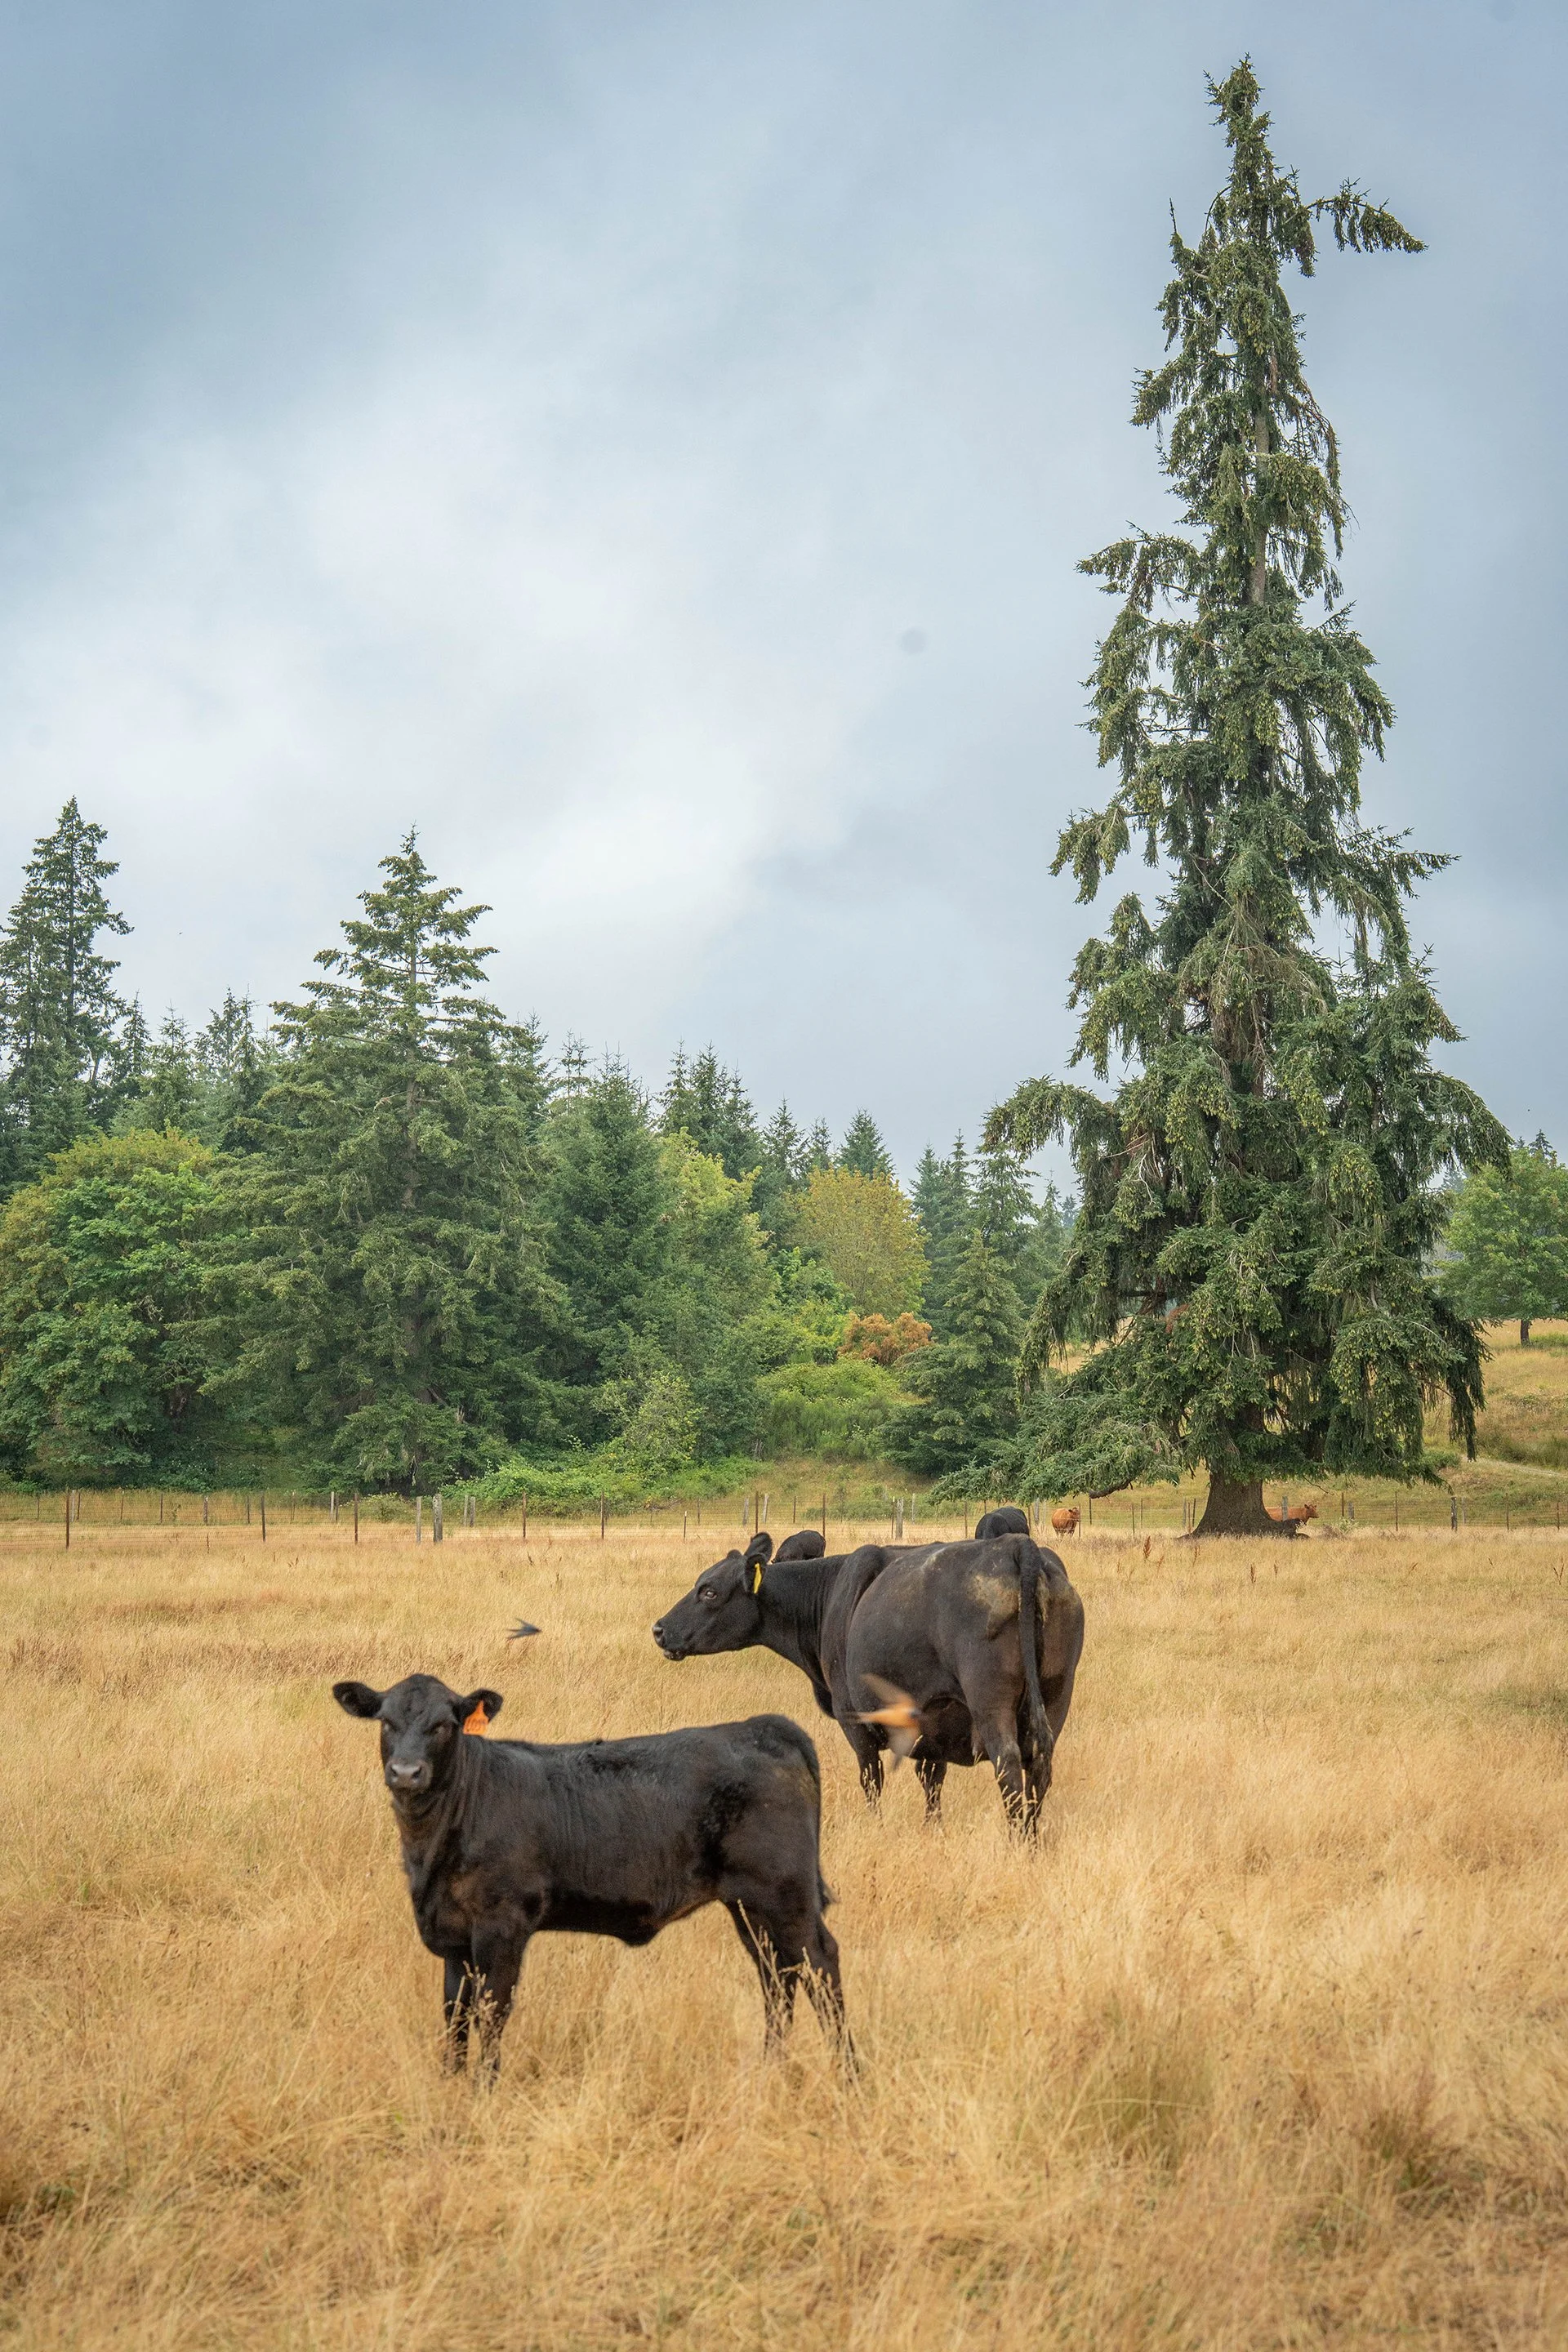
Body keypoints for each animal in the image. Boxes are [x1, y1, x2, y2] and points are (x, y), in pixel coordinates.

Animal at [332, 1671, 850, 2078]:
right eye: (386, 1722)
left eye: (444, 1725)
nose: (406, 1772)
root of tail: (761, 1727)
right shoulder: (455, 1936)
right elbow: (455, 2014)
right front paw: (452, 2083)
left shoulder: (502, 1927)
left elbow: (492, 2013)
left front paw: (484, 2090)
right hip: (749, 1905)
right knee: (777, 1973)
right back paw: (771, 2068)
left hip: (786, 1896)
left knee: (820, 1965)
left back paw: (848, 2075)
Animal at [653, 1535, 1084, 1834]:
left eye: (709, 1591)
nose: (659, 1629)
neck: (829, 1597)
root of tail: (1016, 1544)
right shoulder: (934, 1724)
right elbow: (932, 1783)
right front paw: (933, 1831)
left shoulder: (855, 1720)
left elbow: (871, 1781)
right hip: (1056, 1697)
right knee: (1040, 1764)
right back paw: (1032, 1839)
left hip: (990, 1702)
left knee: (1009, 1764)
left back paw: (1017, 1841)